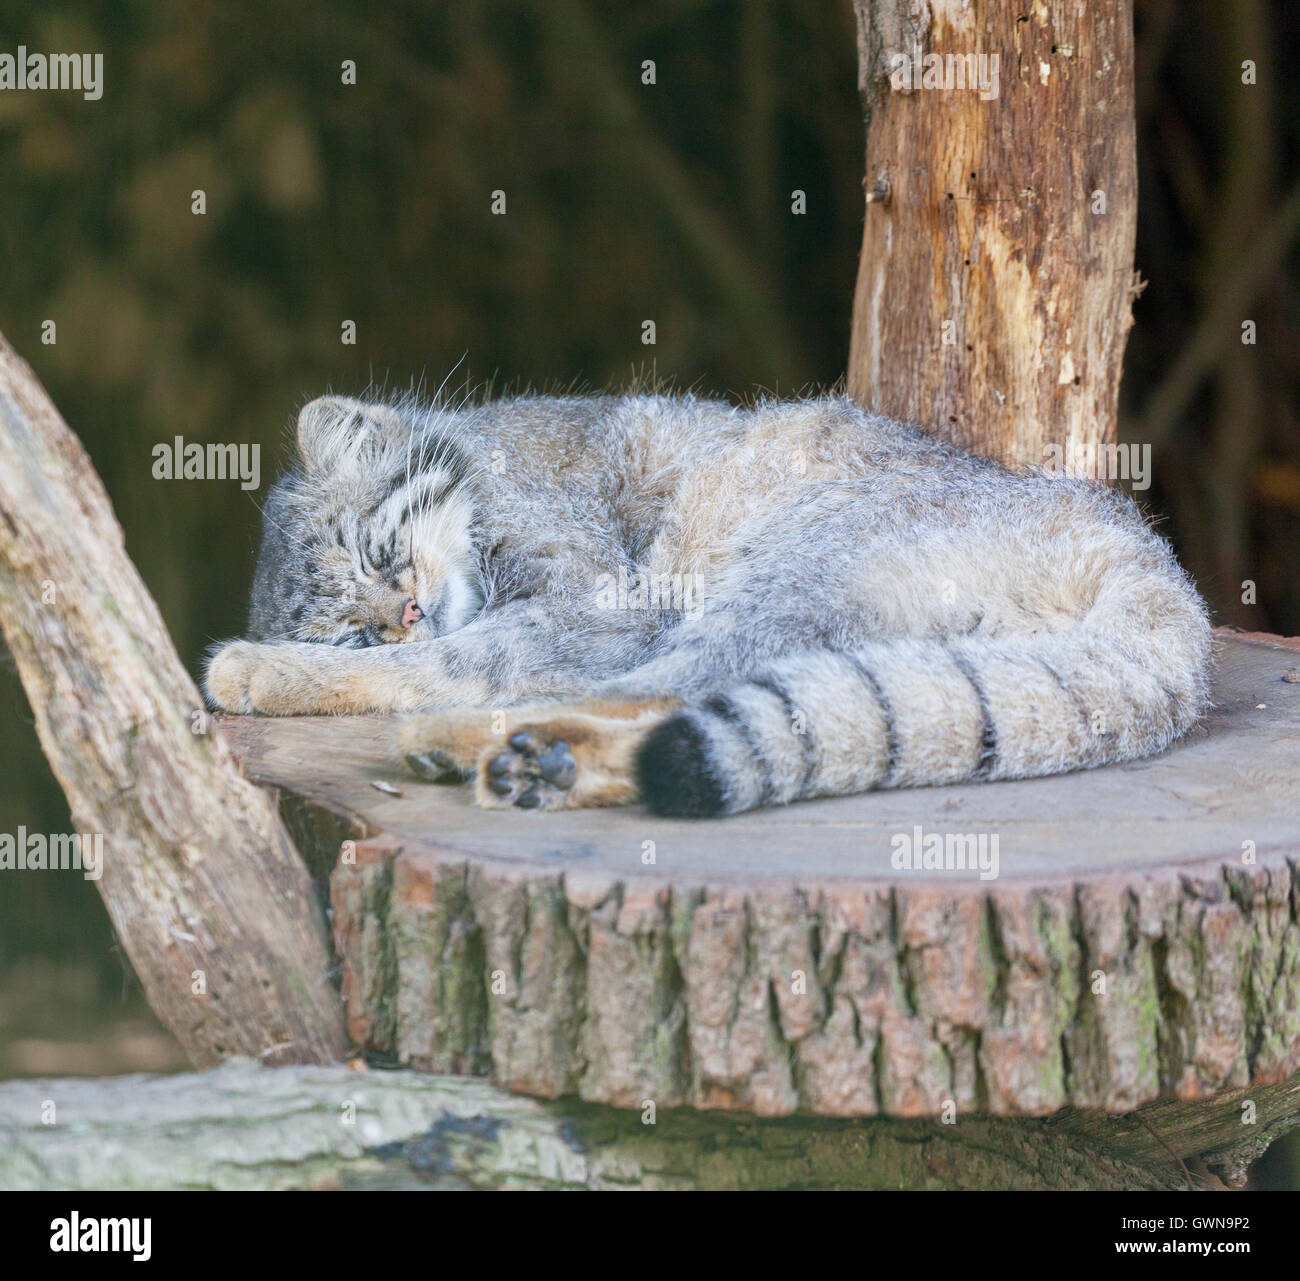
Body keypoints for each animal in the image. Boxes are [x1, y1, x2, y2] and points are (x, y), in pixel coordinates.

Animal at [202, 390, 1206, 816]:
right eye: (352, 629)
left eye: (382, 554)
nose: (403, 614)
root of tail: (1144, 552)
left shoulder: (604, 599)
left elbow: (453, 658)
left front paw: (262, 668)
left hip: (783, 574)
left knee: (664, 690)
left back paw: (477, 744)